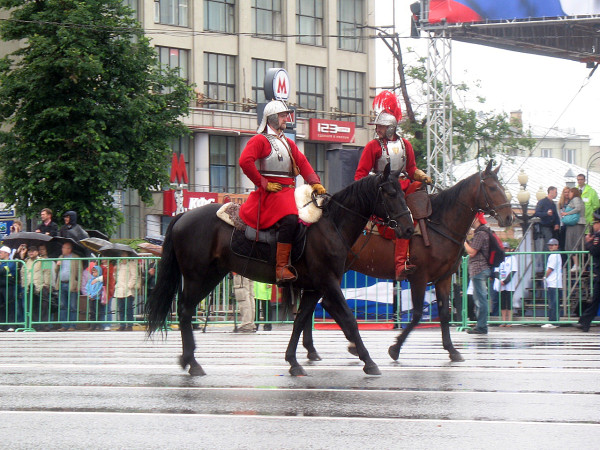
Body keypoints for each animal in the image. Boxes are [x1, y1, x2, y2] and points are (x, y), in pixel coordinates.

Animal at [147, 164, 414, 376]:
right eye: (390, 193)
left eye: (403, 192)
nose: (409, 229)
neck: (332, 226)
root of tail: (182, 216)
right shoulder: (329, 283)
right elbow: (348, 319)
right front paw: (368, 361)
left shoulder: (315, 288)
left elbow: (301, 320)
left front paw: (294, 361)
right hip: (198, 277)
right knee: (184, 311)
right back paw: (192, 362)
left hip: (211, 275)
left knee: (186, 311)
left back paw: (187, 359)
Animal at [298, 161, 510, 362]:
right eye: (492, 188)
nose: (509, 217)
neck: (440, 223)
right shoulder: (419, 277)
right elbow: (416, 314)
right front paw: (395, 348)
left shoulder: (444, 279)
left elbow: (444, 313)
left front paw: (451, 349)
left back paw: (317, 349)